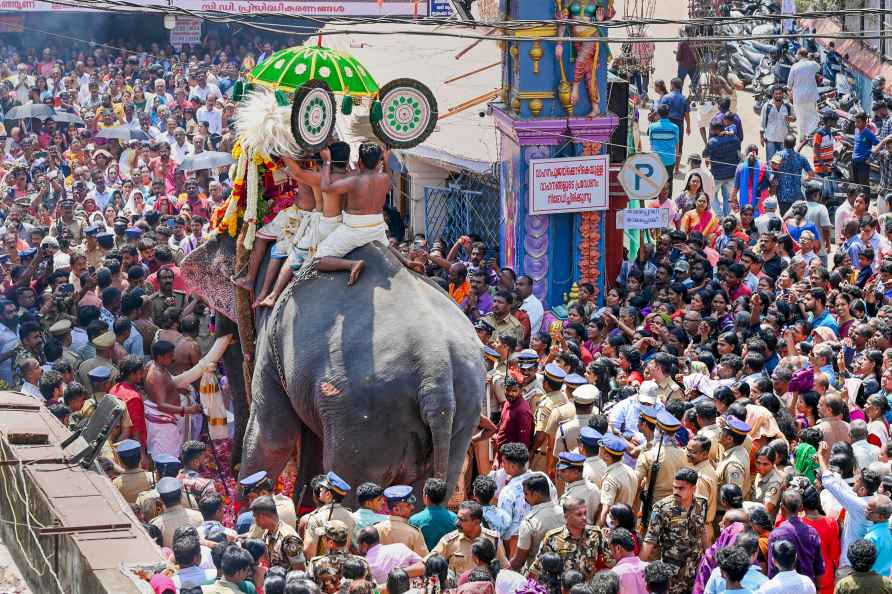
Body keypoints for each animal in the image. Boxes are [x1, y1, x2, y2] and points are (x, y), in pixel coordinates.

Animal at [184, 236, 484, 500]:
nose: (231, 470)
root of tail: (436, 375)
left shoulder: (272, 341)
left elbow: (272, 437)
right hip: (460, 416)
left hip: (363, 417)